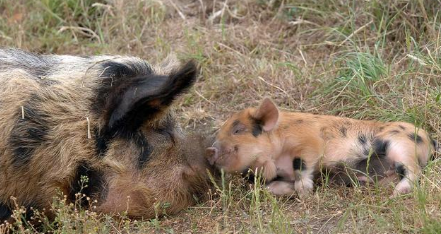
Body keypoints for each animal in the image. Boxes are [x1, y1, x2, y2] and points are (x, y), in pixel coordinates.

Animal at [207, 98, 436, 197]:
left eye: (238, 130)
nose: (210, 150)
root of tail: (432, 141)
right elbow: (270, 186)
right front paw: (290, 190)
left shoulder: (309, 140)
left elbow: (301, 165)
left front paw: (305, 193)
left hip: (401, 144)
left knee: (414, 171)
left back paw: (397, 194)